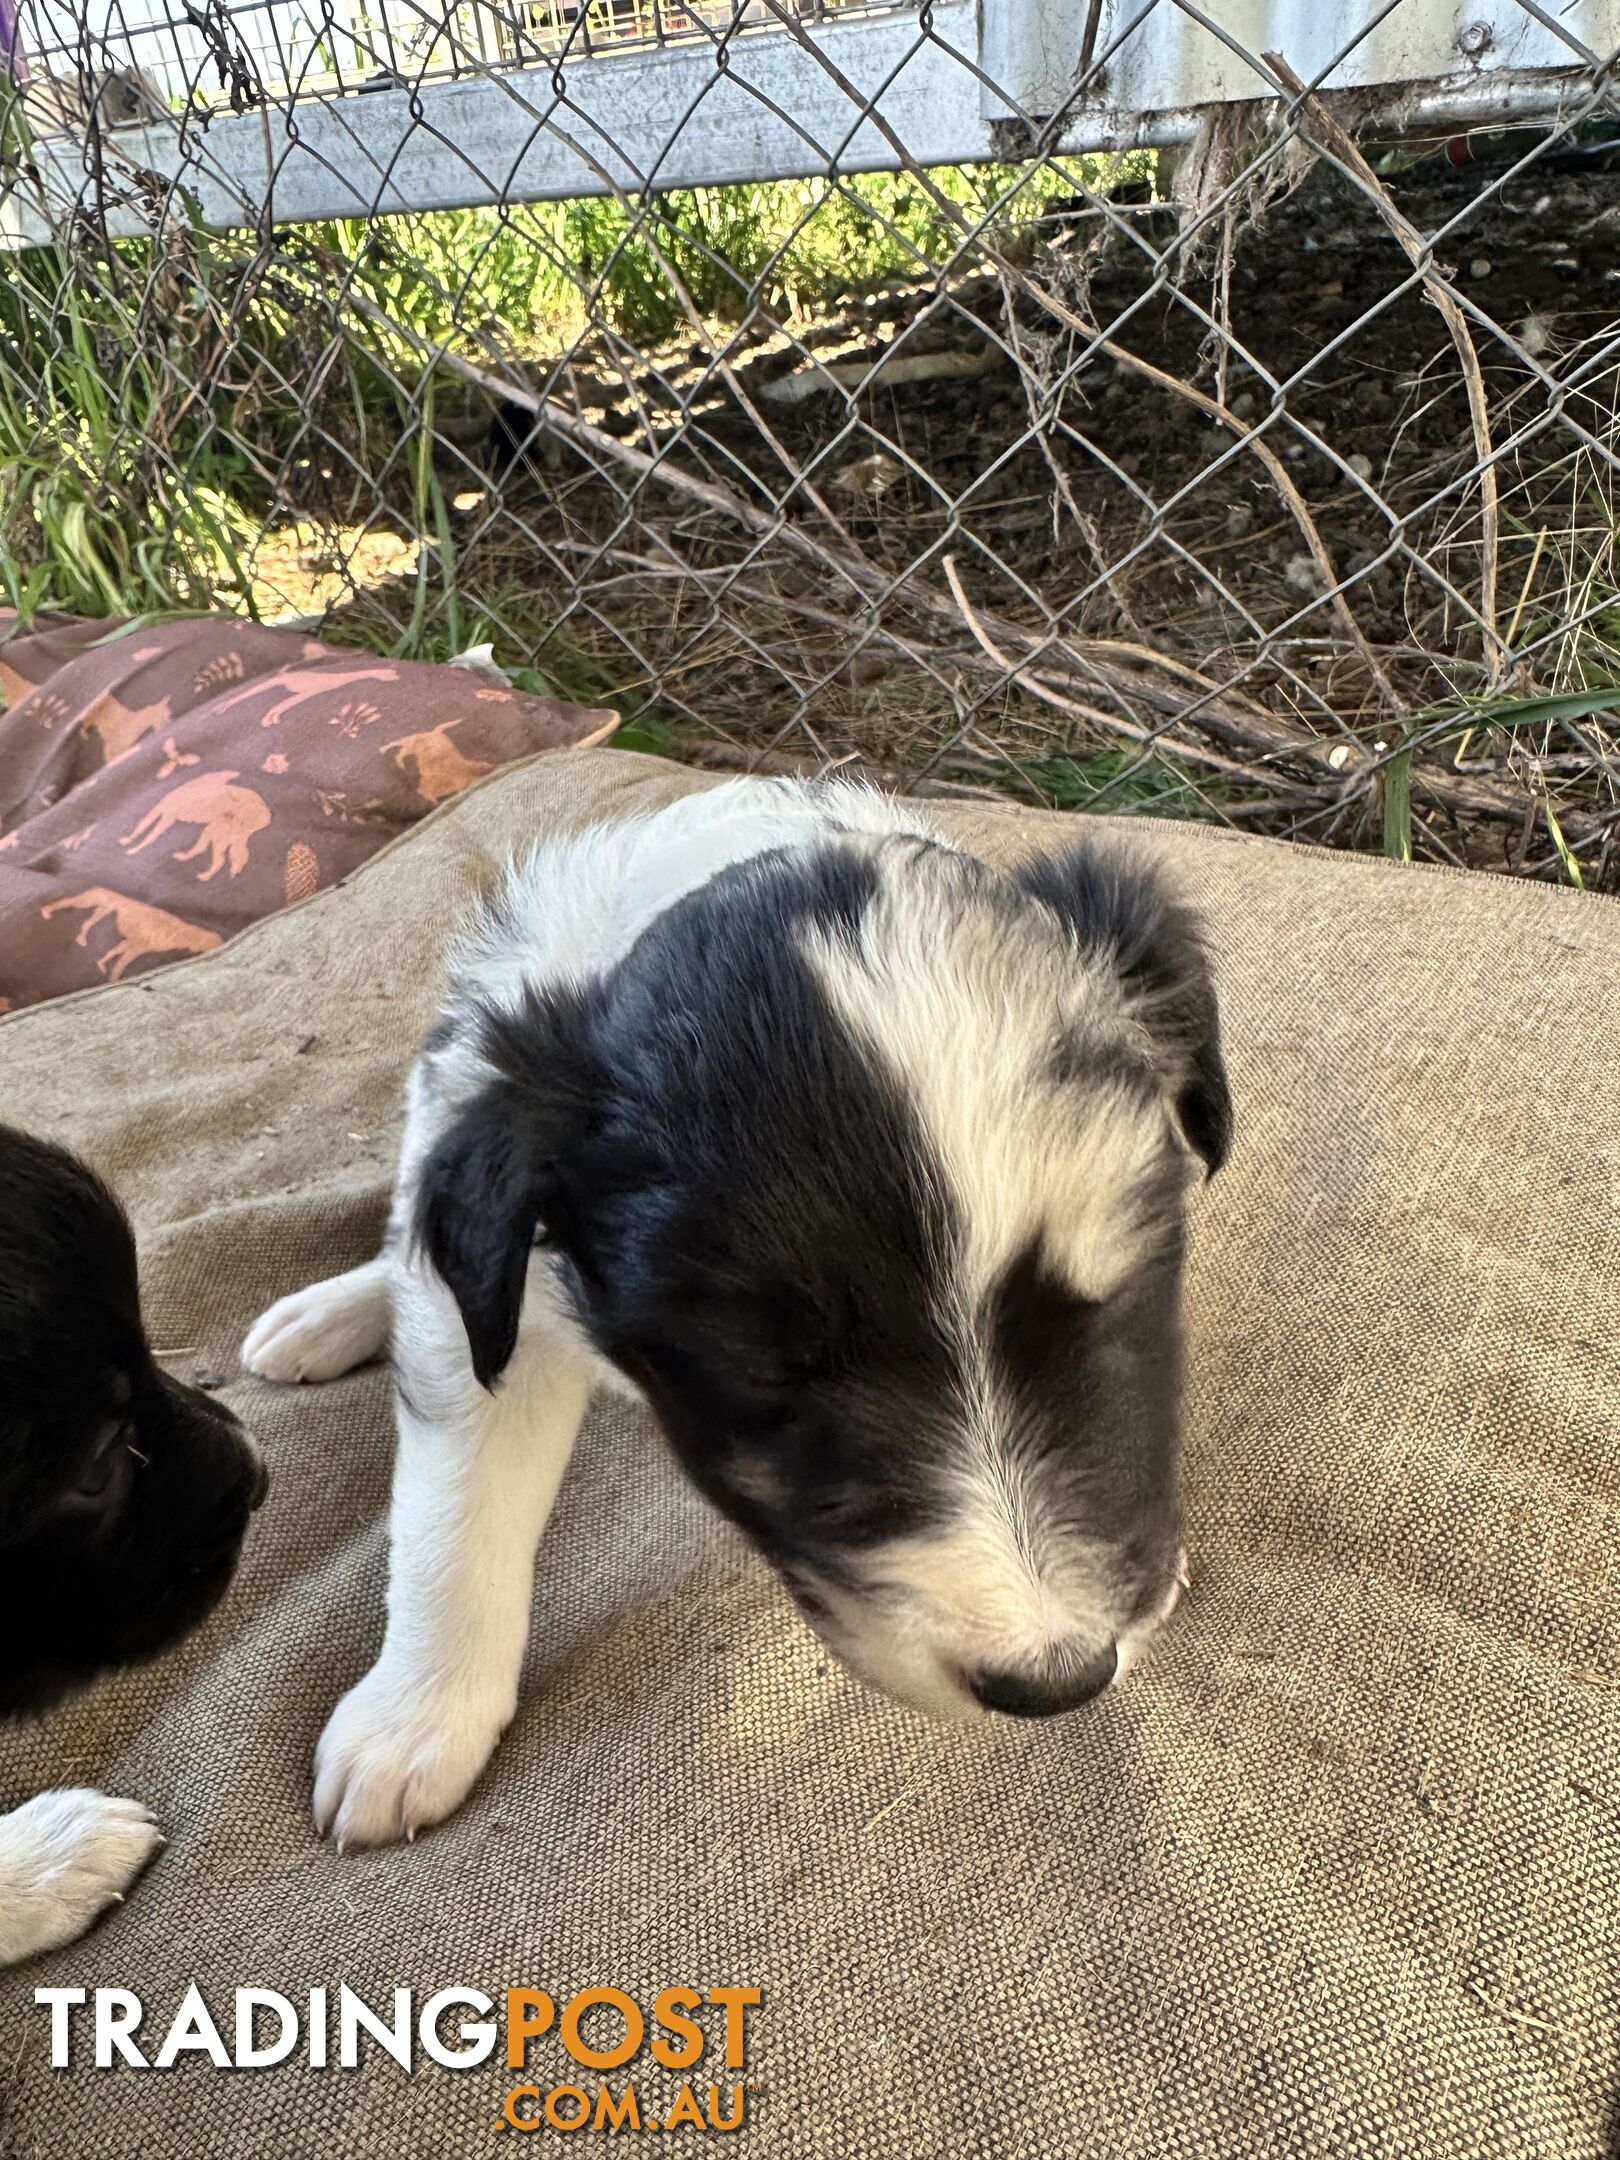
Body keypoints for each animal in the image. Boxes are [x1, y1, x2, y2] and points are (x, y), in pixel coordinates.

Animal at [244, 786, 1226, 1848]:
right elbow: (452, 1521)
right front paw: (413, 1724)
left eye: (1115, 1297)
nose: (1056, 1682)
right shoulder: (491, 1302)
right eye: (759, 1369)